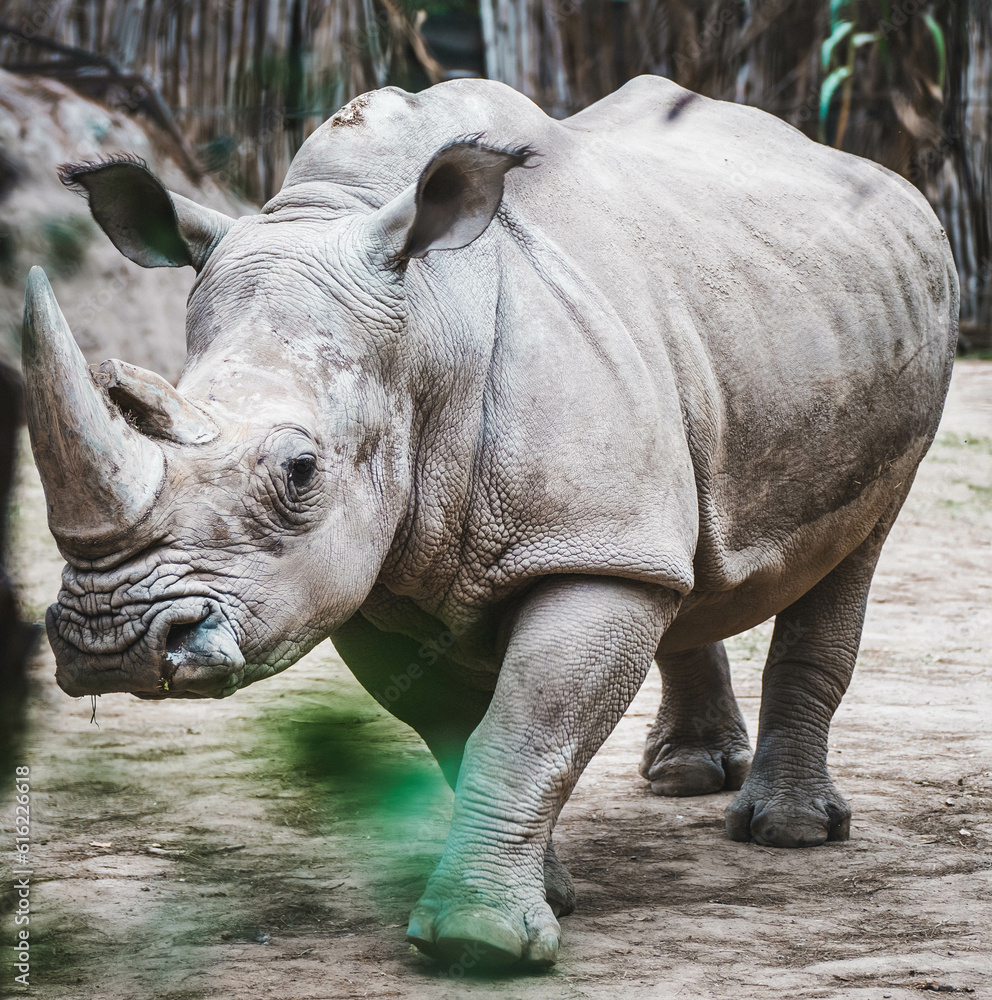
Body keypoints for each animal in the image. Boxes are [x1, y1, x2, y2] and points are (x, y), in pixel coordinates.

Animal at [23, 75, 957, 967]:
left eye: (299, 471)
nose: (111, 641)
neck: (431, 323)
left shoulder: (582, 551)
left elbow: (525, 731)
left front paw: (481, 941)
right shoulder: (373, 577)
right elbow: (458, 732)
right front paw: (549, 894)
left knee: (854, 546)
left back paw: (787, 833)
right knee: (680, 552)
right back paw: (687, 777)